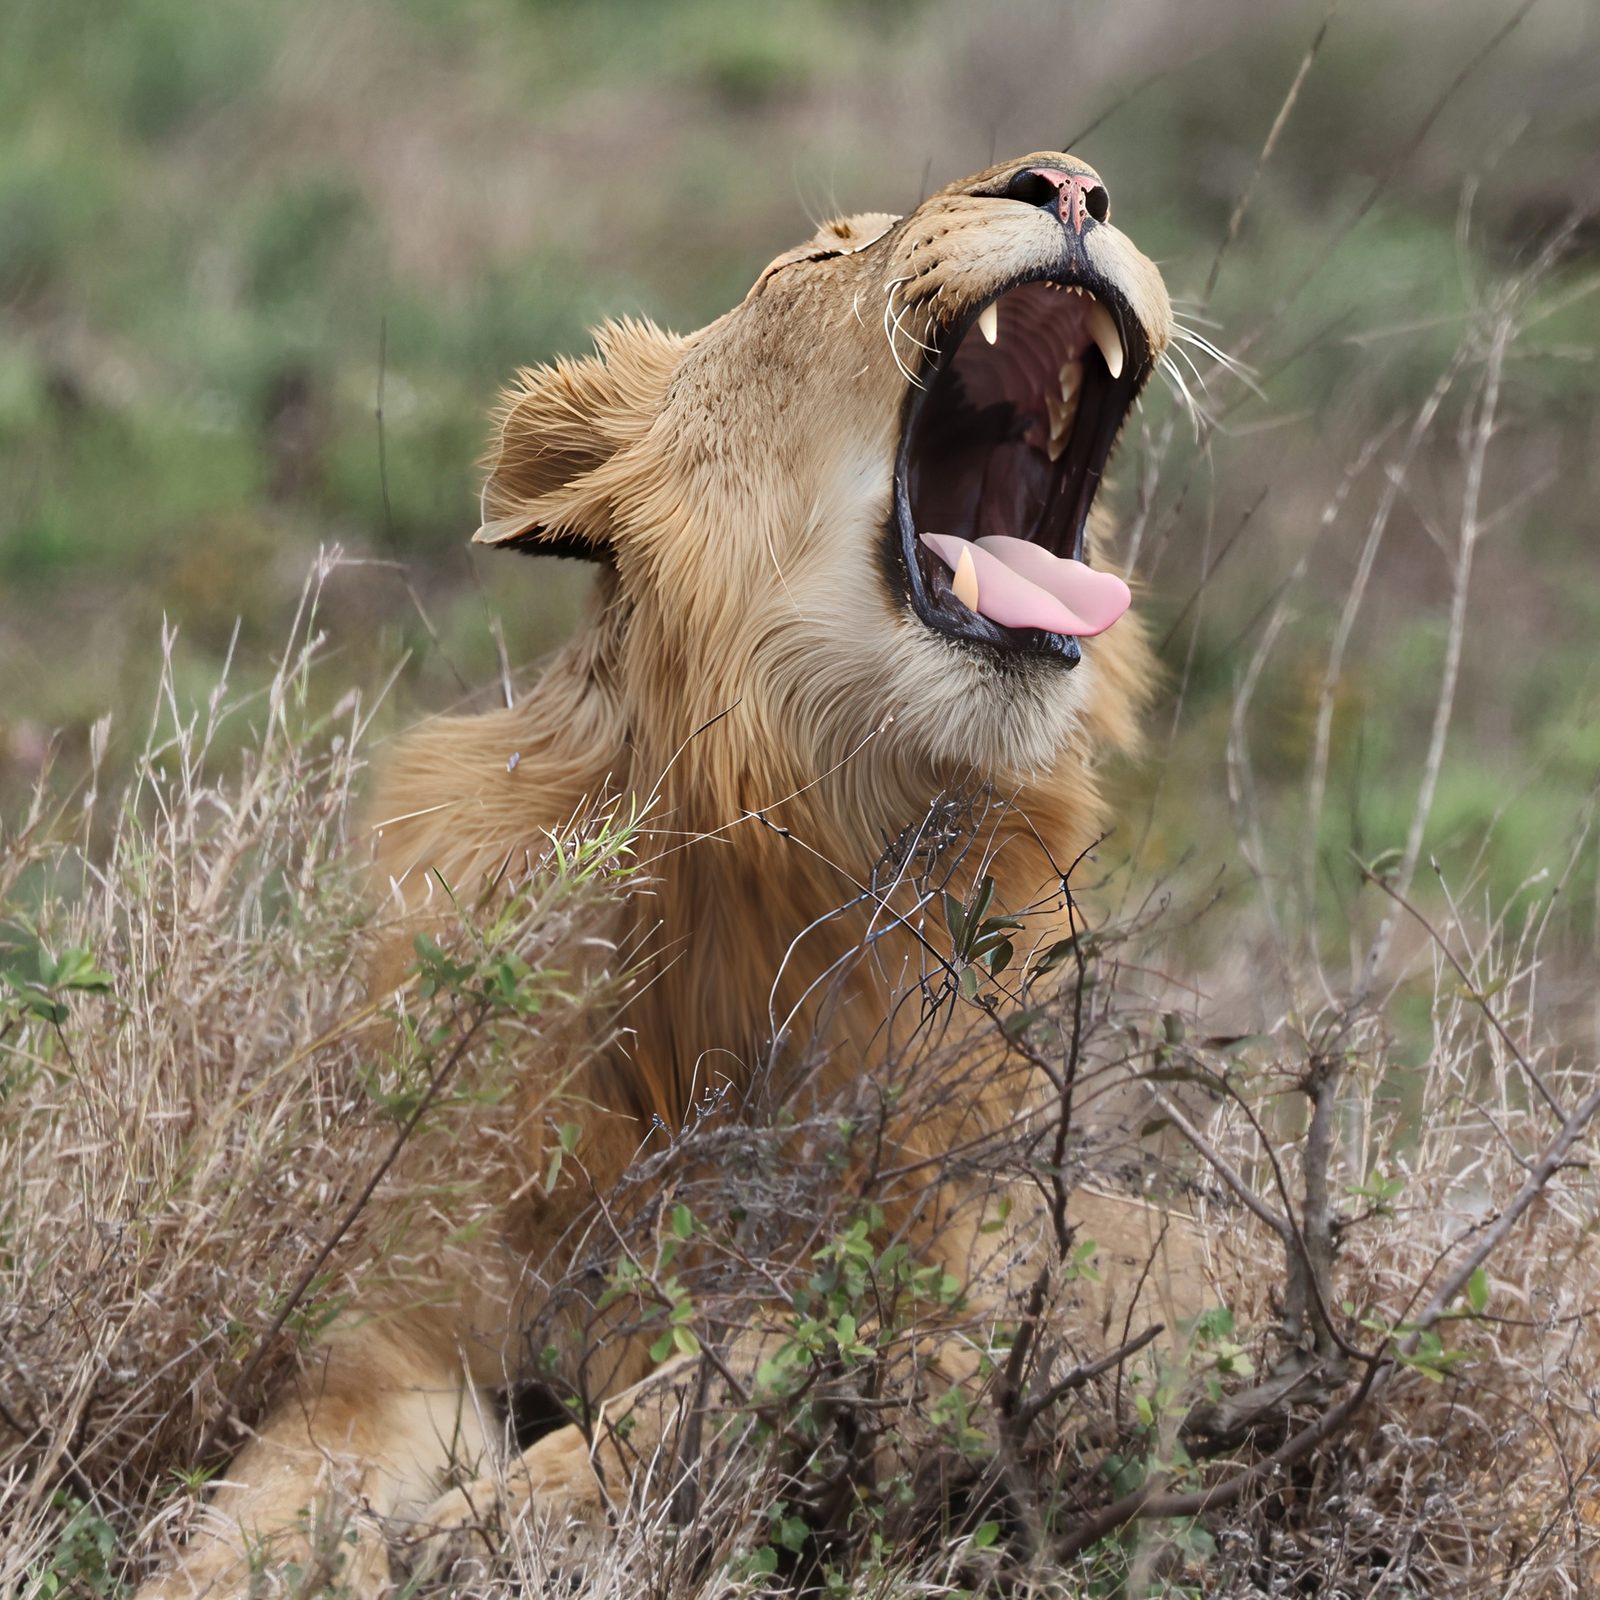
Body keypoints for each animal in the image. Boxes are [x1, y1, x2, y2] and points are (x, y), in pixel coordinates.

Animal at [140, 152, 1201, 1596]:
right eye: (814, 261)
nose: (1077, 186)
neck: (791, 842)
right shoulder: (407, 1311)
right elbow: (274, 1482)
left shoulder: (943, 1260)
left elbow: (690, 1398)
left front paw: (450, 1543)